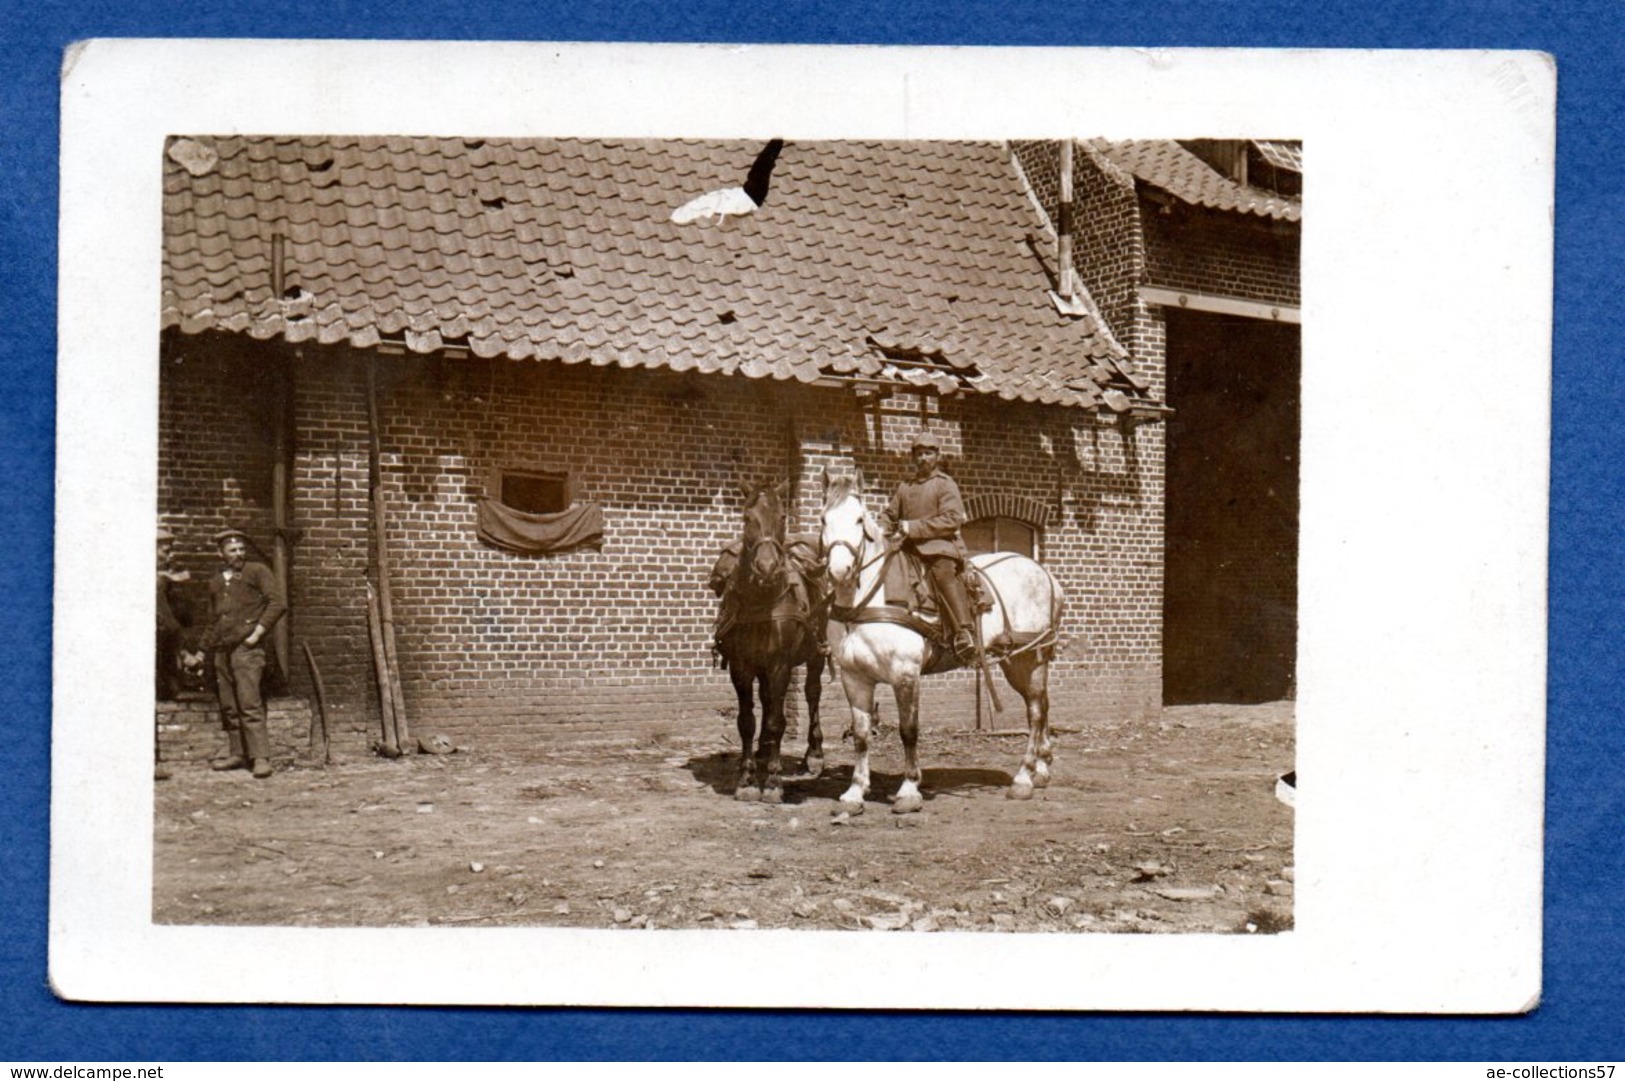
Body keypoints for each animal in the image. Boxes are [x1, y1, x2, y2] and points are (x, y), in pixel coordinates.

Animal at [708, 481, 825, 799]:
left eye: (783, 517)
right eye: (747, 518)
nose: (767, 567)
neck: (762, 600)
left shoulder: (780, 666)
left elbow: (777, 720)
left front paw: (773, 781)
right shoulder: (742, 666)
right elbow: (746, 721)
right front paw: (747, 778)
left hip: (817, 655)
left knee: (812, 693)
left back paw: (814, 754)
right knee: (767, 698)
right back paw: (762, 751)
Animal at [819, 471, 1072, 809]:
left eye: (859, 519)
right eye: (823, 519)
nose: (839, 570)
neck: (867, 599)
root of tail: (1046, 574)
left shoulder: (906, 674)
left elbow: (908, 731)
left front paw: (909, 790)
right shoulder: (854, 677)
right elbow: (861, 734)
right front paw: (855, 791)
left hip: (1028, 659)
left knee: (1034, 711)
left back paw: (1023, 778)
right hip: (1016, 662)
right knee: (1042, 705)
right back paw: (1041, 770)